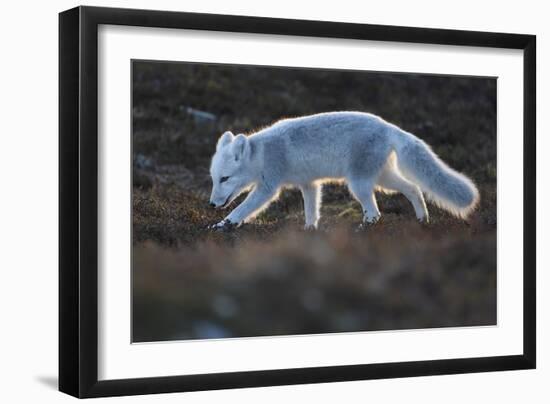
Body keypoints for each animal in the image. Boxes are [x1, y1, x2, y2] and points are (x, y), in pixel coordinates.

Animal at [209, 110, 480, 230]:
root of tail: (389, 126)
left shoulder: (267, 188)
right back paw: (423, 220)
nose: (211, 205)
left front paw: (223, 225)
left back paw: (364, 230)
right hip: (383, 179)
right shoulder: (309, 184)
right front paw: (309, 232)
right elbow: (311, 211)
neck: (262, 154)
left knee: (375, 212)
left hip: (359, 184)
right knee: (413, 188)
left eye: (225, 178)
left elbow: (243, 209)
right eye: (214, 179)